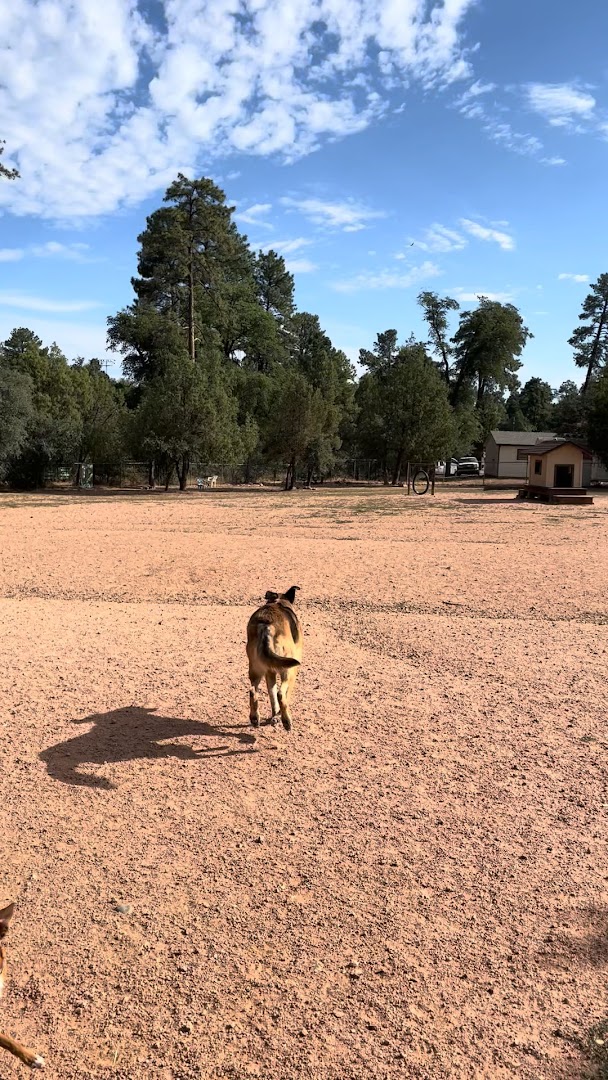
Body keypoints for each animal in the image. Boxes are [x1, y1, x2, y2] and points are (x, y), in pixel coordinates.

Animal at [246, 587, 302, 730]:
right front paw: (279, 716)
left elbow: (272, 695)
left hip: (256, 668)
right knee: (281, 694)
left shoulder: (269, 672)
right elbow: (284, 695)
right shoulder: (290, 673)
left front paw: (275, 716)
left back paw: (254, 718)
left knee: (252, 691)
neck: (278, 601)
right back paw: (286, 720)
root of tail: (267, 626)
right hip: (288, 670)